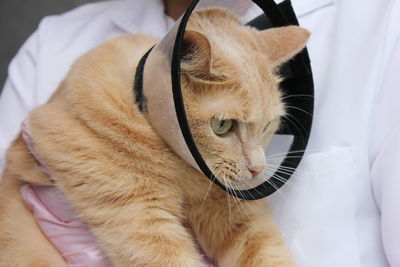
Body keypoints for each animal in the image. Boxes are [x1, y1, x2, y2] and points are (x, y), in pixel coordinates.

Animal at [0, 8, 310, 267]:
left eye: (268, 125)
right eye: (222, 125)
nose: (257, 169)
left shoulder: (237, 215)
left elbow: (268, 254)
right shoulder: (141, 219)